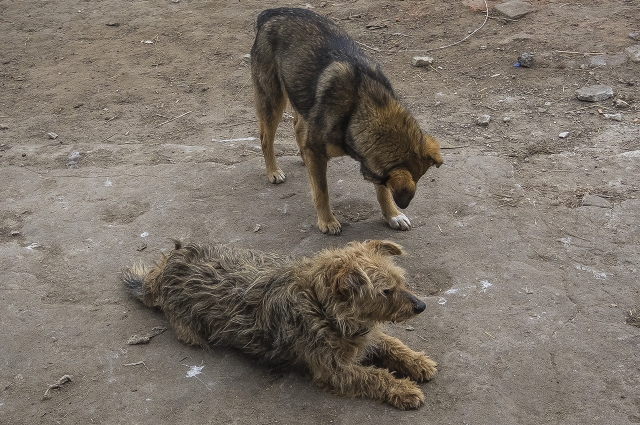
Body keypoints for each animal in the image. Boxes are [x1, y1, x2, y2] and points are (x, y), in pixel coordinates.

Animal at [122, 238, 438, 408]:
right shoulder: (334, 370)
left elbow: (392, 343)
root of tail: (164, 268)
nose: (421, 306)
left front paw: (417, 362)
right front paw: (404, 389)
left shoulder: (365, 335)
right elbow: (374, 377)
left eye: (400, 281)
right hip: (191, 330)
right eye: (386, 291)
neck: (323, 307)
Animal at [251, 7, 444, 235]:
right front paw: (327, 221)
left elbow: (382, 192)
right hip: (272, 99)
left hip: (300, 97)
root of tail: (272, 12)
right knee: (265, 139)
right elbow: (322, 191)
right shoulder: (317, 150)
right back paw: (273, 171)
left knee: (298, 127)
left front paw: (392, 215)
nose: (403, 204)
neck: (358, 108)